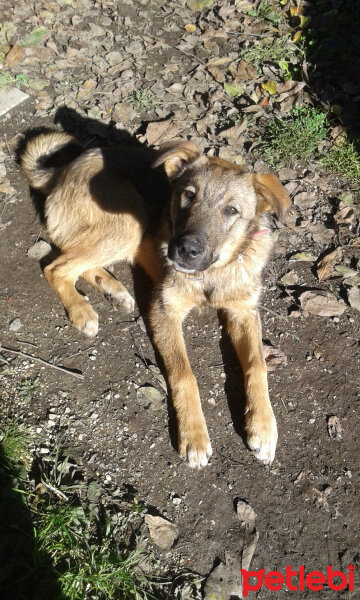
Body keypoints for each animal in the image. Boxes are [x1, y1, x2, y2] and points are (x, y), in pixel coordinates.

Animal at [19, 131, 292, 468]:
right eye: (188, 195)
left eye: (231, 211)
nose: (186, 249)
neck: (213, 272)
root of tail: (62, 170)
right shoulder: (164, 312)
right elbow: (185, 375)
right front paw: (194, 436)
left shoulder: (243, 311)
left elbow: (257, 365)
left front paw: (263, 426)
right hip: (129, 220)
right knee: (56, 266)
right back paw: (82, 310)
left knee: (76, 262)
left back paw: (114, 289)